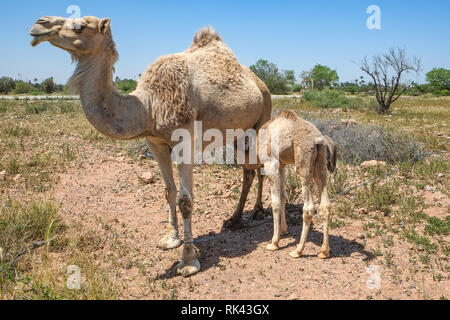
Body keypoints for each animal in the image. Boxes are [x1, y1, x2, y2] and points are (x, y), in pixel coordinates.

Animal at [258, 110, 336, 258]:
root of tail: (318, 140)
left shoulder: (271, 163)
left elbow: (275, 202)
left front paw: (274, 243)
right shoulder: (282, 165)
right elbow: (283, 197)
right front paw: (284, 230)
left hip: (303, 165)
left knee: (309, 207)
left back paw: (298, 250)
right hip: (320, 166)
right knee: (325, 205)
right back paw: (324, 251)